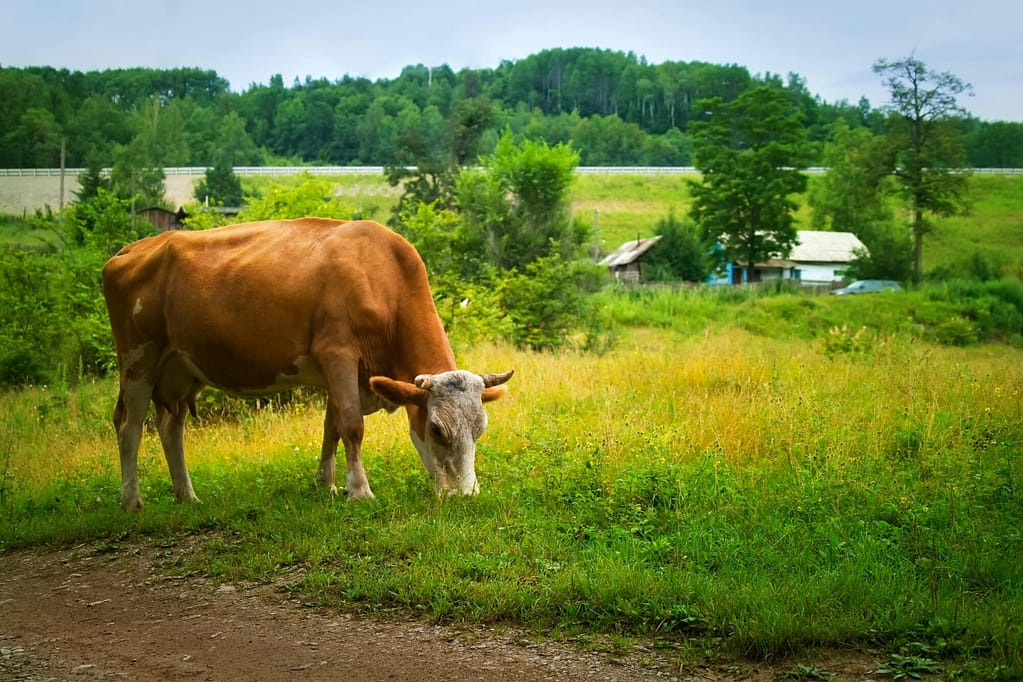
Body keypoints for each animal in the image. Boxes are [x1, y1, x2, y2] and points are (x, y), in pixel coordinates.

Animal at [101, 218, 513, 511]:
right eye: (438, 430)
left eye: (479, 430)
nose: (465, 495)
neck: (381, 277)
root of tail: (130, 249)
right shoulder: (338, 353)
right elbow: (351, 425)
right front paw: (359, 490)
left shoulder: (341, 373)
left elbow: (331, 427)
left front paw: (327, 484)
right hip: (138, 358)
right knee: (129, 425)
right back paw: (132, 501)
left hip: (182, 367)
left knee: (171, 427)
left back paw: (187, 496)